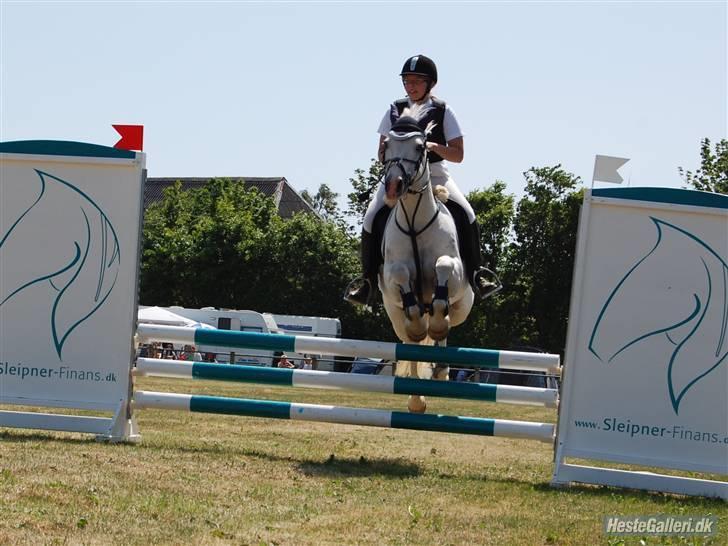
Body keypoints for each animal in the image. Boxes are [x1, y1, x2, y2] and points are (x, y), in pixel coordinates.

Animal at [378, 105, 474, 412]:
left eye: (421, 146)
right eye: (387, 145)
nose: (393, 187)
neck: (414, 221)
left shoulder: (454, 270)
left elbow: (443, 266)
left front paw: (436, 325)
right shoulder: (391, 276)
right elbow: (400, 273)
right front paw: (420, 325)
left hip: (462, 306)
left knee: (443, 326)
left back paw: (441, 367)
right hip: (396, 316)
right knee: (412, 342)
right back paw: (416, 400)